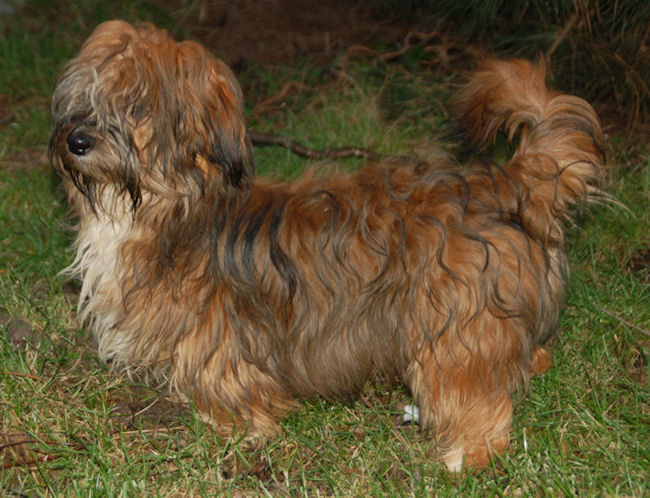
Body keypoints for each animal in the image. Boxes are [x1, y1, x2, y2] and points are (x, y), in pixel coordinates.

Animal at [49, 20, 604, 470]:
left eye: (136, 106)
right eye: (87, 98)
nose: (76, 141)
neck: (166, 207)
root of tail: (502, 181)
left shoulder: (220, 347)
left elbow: (233, 394)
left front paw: (233, 434)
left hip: (454, 329)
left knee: (479, 399)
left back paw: (463, 457)